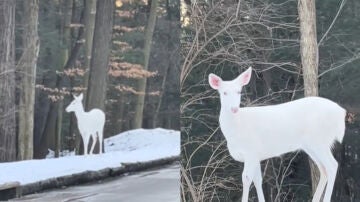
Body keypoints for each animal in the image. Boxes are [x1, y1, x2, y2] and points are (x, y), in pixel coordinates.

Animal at [208, 67, 346, 202]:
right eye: (224, 92)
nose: (234, 108)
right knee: (323, 169)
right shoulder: (256, 155)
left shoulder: (251, 151)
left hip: (319, 140)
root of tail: (341, 113)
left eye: (239, 92)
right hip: (311, 146)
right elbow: (258, 180)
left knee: (332, 165)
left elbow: (246, 179)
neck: (236, 130)